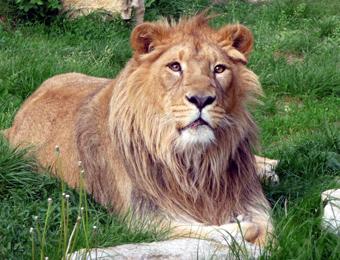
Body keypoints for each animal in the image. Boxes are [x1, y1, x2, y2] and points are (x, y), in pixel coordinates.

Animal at [4, 13, 274, 246]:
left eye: (219, 69)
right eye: (175, 67)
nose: (201, 99)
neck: (194, 161)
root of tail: (14, 121)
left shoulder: (252, 200)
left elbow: (270, 232)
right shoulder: (141, 220)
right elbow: (216, 230)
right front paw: (242, 228)